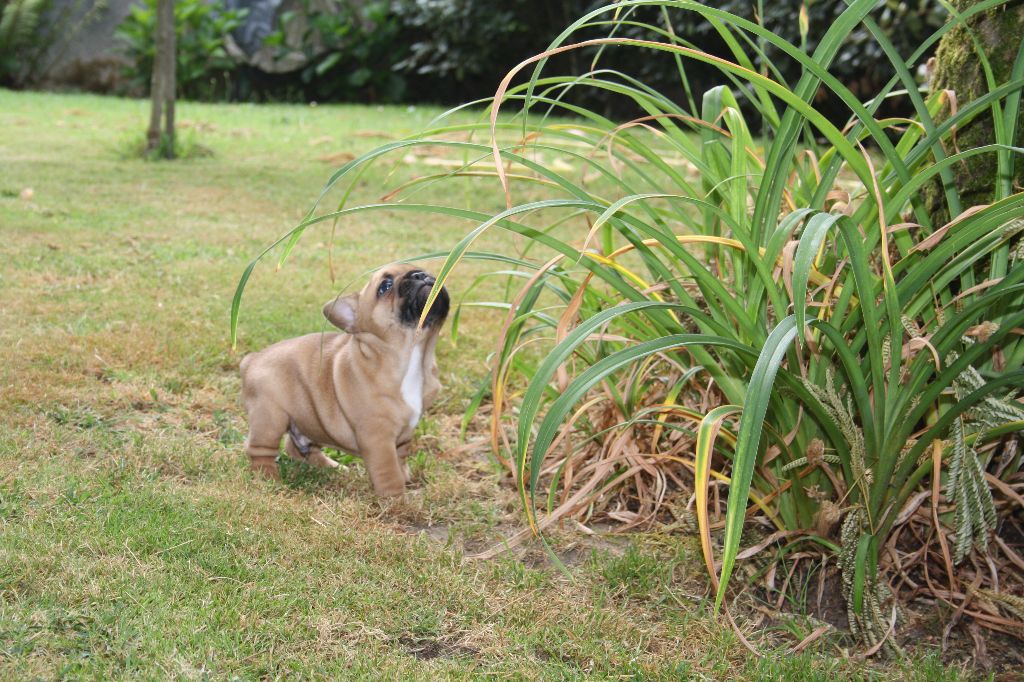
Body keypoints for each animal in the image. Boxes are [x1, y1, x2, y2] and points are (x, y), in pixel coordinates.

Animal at [241, 261, 450, 493]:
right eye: (385, 287)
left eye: (424, 270)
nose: (420, 274)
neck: (413, 356)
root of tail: (251, 359)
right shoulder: (378, 438)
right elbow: (389, 474)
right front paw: (397, 500)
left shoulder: (404, 435)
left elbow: (401, 460)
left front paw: (406, 479)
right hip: (270, 417)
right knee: (260, 450)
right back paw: (270, 479)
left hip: (310, 419)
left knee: (297, 447)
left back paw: (332, 467)